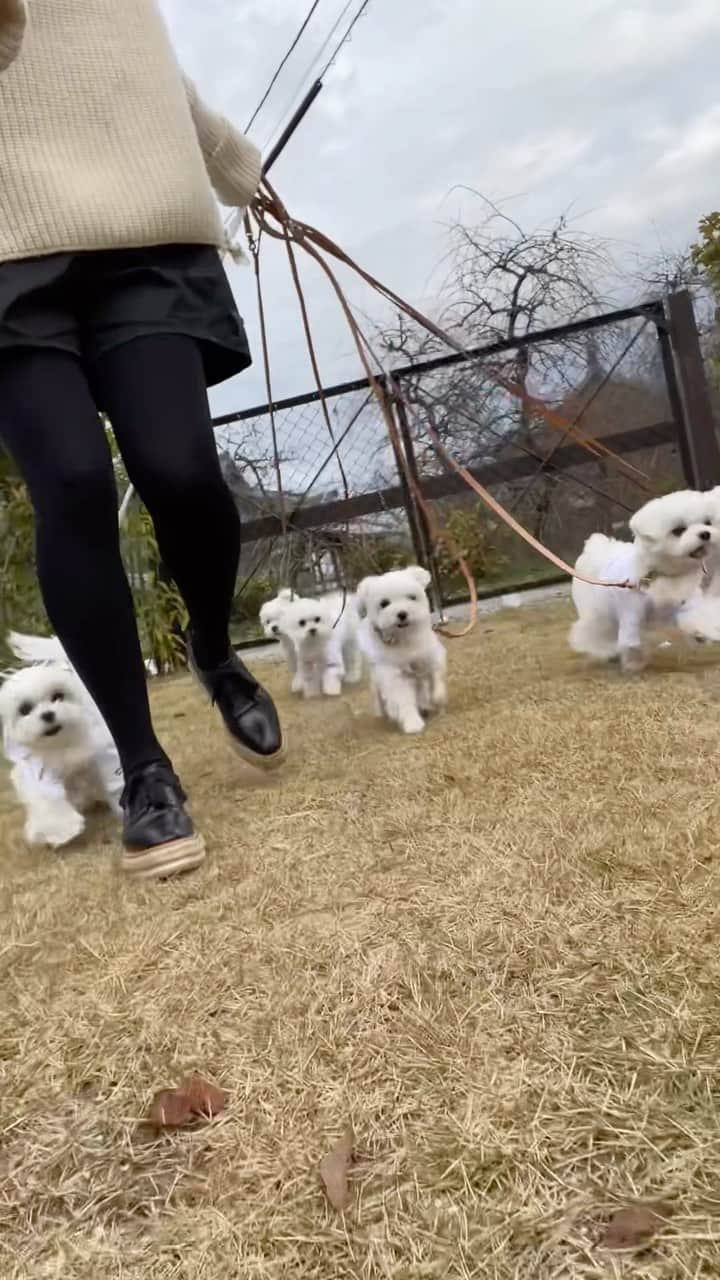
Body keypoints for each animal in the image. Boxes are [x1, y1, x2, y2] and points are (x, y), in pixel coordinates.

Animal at [0, 632, 122, 849]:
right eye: (24, 709)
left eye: (58, 696)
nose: (48, 714)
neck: (60, 744)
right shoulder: (39, 772)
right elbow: (48, 799)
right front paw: (63, 831)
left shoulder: (100, 753)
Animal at [353, 565, 443, 737]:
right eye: (384, 603)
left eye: (412, 597)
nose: (402, 614)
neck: (404, 638)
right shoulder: (394, 676)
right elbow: (403, 700)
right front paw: (412, 723)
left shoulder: (430, 657)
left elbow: (436, 678)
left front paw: (437, 697)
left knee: (420, 687)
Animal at [566, 486, 717, 675]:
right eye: (678, 530)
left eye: (707, 522)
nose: (705, 534)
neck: (662, 573)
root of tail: (595, 547)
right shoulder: (631, 610)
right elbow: (631, 641)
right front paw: (633, 663)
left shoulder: (686, 601)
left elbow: (697, 615)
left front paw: (701, 632)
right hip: (597, 611)